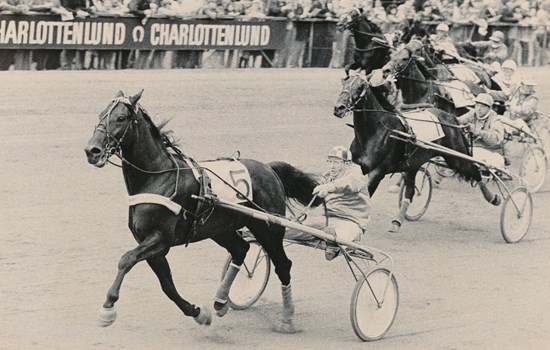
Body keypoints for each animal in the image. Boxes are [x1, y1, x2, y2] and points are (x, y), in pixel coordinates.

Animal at [84, 89, 322, 330]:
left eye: (121, 118)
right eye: (100, 115)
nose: (91, 150)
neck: (158, 176)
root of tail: (269, 169)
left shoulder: (161, 239)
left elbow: (126, 259)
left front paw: (108, 308)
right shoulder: (148, 241)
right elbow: (167, 285)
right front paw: (199, 313)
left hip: (268, 228)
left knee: (283, 264)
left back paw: (287, 318)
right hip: (220, 228)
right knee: (241, 249)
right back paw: (221, 301)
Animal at [334, 73, 502, 232]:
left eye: (360, 87)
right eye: (344, 82)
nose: (339, 108)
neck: (377, 131)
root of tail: (452, 118)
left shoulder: (377, 172)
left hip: (456, 158)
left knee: (475, 170)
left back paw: (493, 198)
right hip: (413, 163)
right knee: (409, 192)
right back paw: (397, 222)